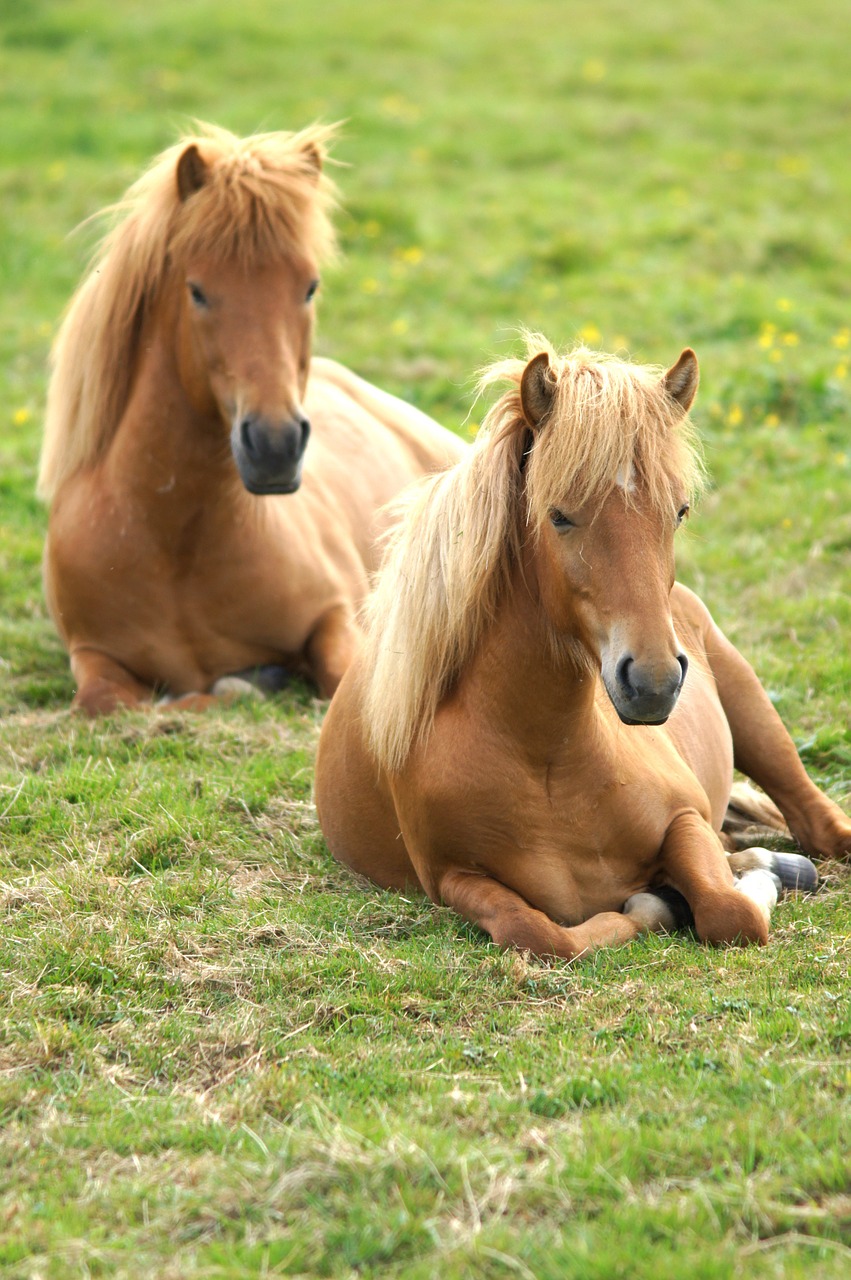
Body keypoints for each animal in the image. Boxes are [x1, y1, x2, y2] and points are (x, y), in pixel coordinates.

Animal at [38, 123, 465, 716]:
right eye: (197, 291)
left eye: (309, 287)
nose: (275, 445)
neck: (175, 548)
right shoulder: (92, 655)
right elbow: (113, 700)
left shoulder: (338, 620)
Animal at [317, 340, 849, 962]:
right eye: (559, 515)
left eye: (679, 511)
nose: (653, 681)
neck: (548, 761)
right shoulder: (453, 879)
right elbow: (541, 935)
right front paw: (665, 902)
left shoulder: (685, 817)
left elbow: (731, 914)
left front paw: (734, 888)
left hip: (755, 716)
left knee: (818, 824)